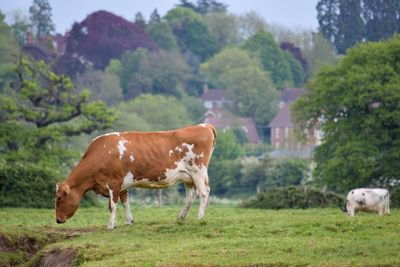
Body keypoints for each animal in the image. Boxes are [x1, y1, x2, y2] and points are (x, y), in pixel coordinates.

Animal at [55, 124, 217, 229]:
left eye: (60, 198)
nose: (57, 220)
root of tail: (204, 126)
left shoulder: (114, 183)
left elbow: (112, 205)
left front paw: (110, 225)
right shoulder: (122, 186)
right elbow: (125, 202)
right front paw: (129, 221)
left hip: (198, 171)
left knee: (204, 192)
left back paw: (199, 218)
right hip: (187, 176)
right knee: (190, 196)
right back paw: (180, 218)